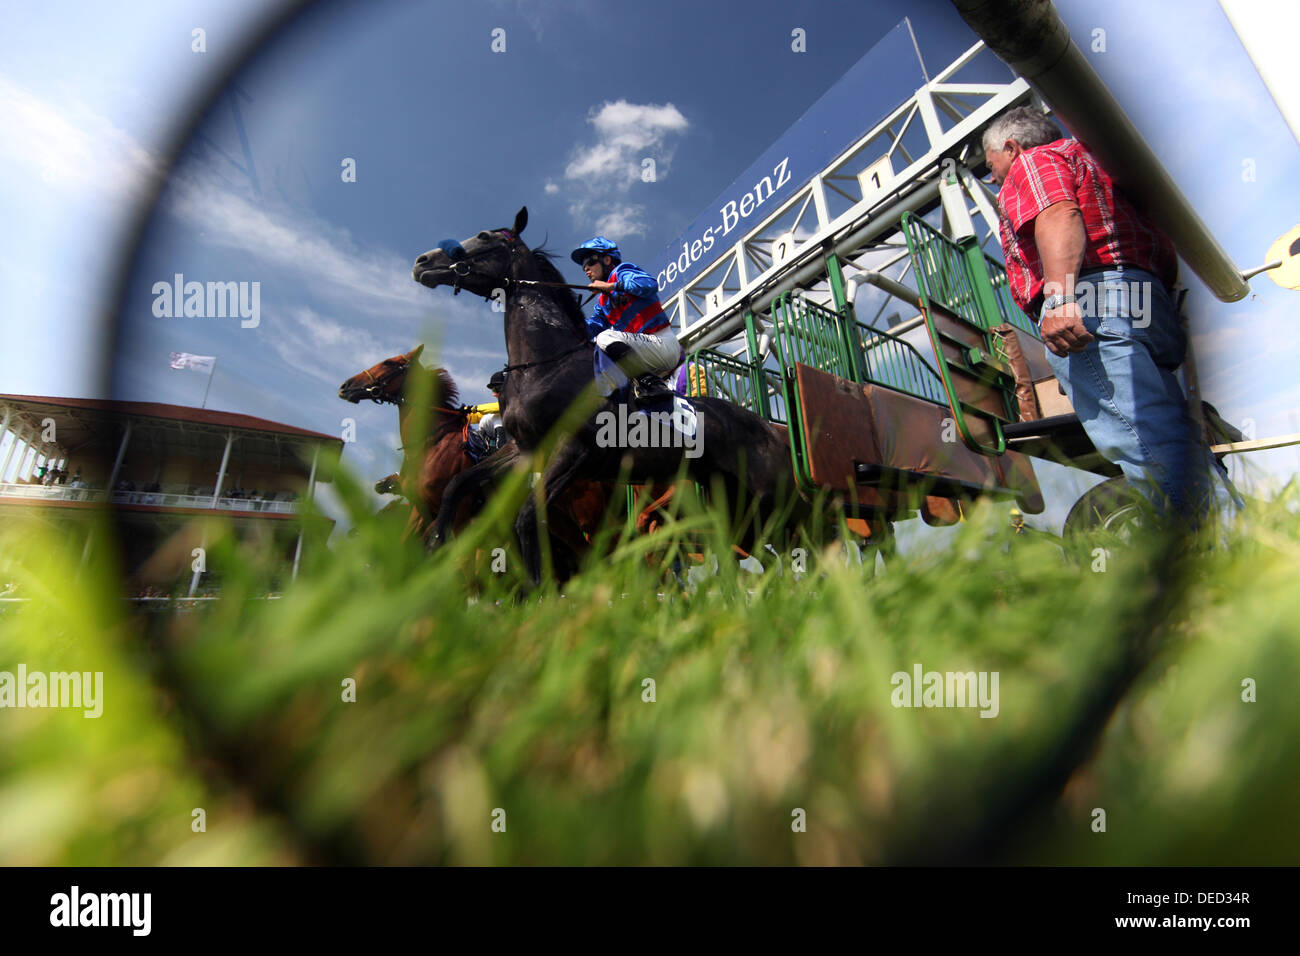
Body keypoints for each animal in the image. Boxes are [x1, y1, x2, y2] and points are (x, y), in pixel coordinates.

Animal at [413, 208, 800, 582]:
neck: (545, 364)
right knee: (762, 552)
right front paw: (433, 550)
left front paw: (541, 592)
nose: (422, 261)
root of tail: (769, 428)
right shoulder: (524, 451)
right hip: (733, 501)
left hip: (768, 497)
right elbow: (457, 485)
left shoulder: (575, 450)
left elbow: (527, 518)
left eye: (483, 236)